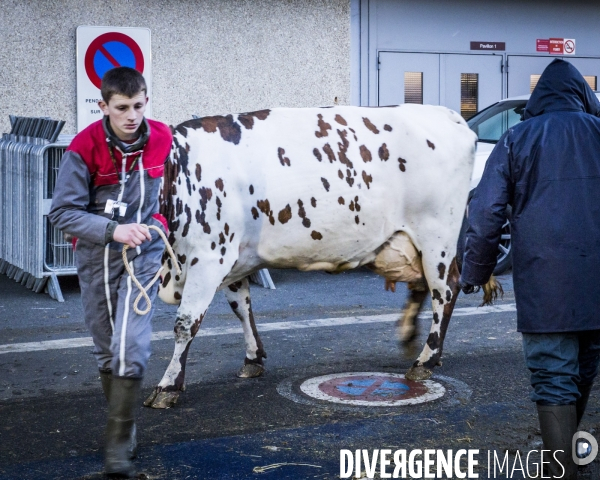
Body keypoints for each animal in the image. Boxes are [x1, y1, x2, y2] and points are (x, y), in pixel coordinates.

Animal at [146, 105, 482, 408]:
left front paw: (168, 385)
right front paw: (253, 357)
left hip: (437, 235)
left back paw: (425, 360)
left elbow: (185, 323)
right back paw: (410, 337)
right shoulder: (234, 259)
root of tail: (446, 114)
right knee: (422, 286)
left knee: (445, 290)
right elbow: (241, 307)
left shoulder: (209, 257)